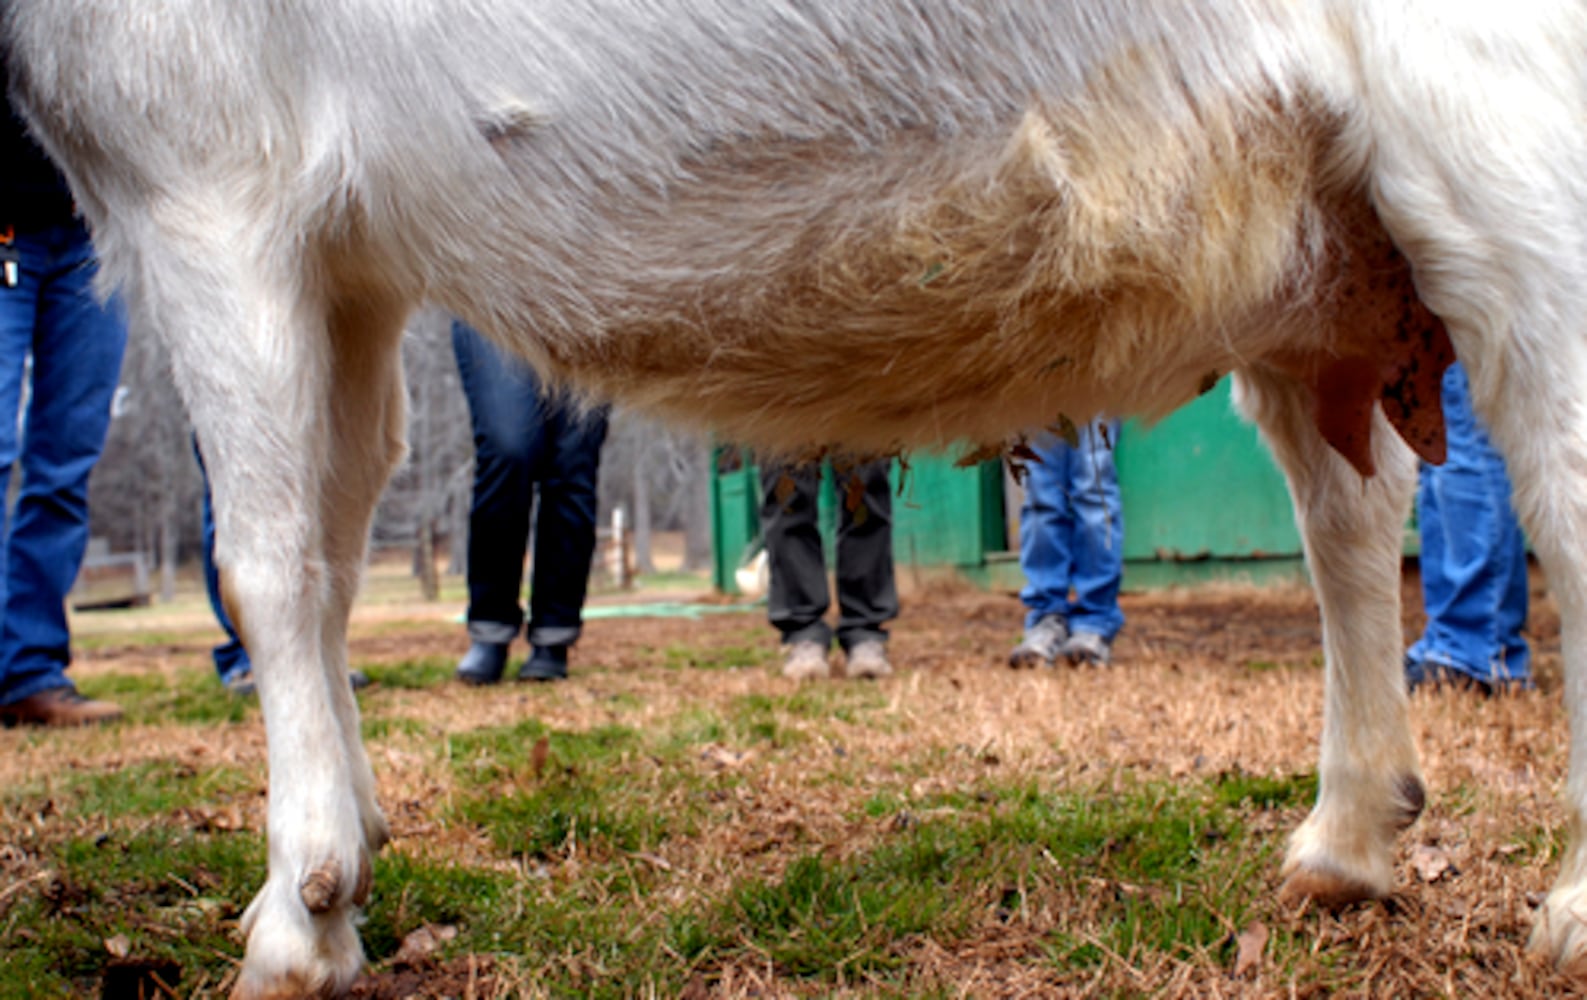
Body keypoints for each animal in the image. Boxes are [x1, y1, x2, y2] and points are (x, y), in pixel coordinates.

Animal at [3, 0, 1587, 996]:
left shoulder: (208, 167)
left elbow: (265, 558)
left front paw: (297, 919)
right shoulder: (348, 260)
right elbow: (333, 545)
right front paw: (352, 848)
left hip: (1498, 120)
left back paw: (1562, 909)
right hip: (1309, 238)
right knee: (1352, 508)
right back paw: (1345, 842)